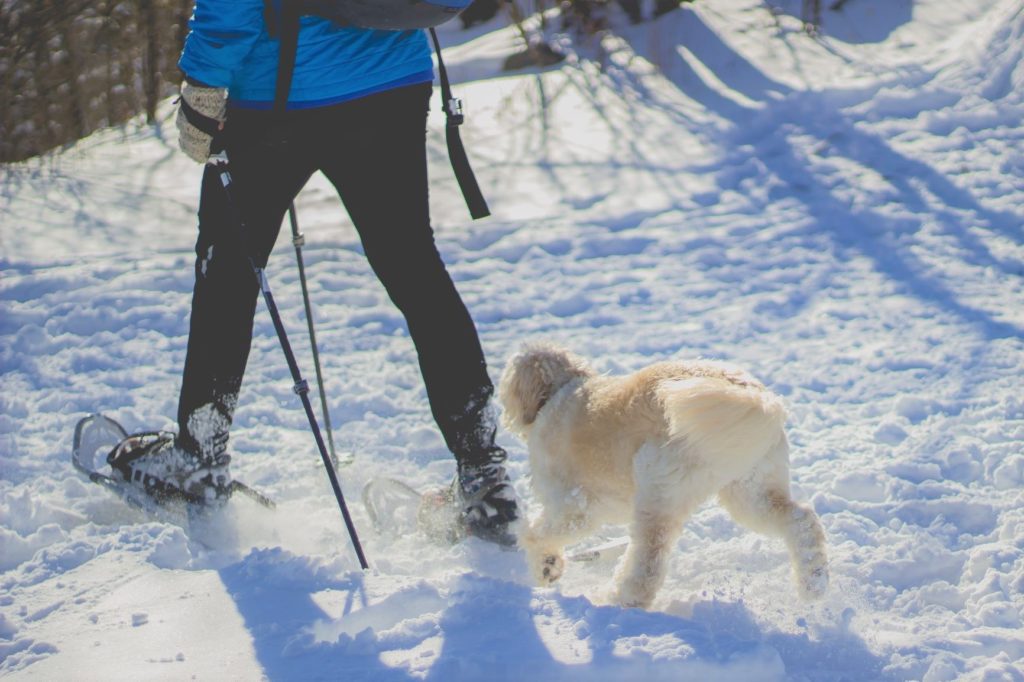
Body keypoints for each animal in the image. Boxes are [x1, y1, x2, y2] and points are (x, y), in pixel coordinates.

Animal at [499, 342, 827, 606]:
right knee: (801, 521)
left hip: (657, 490)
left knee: (648, 563)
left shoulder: (574, 506)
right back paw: (813, 584)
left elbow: (536, 534)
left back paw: (620, 600)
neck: (560, 391)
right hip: (751, 491)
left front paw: (545, 564)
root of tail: (756, 398)